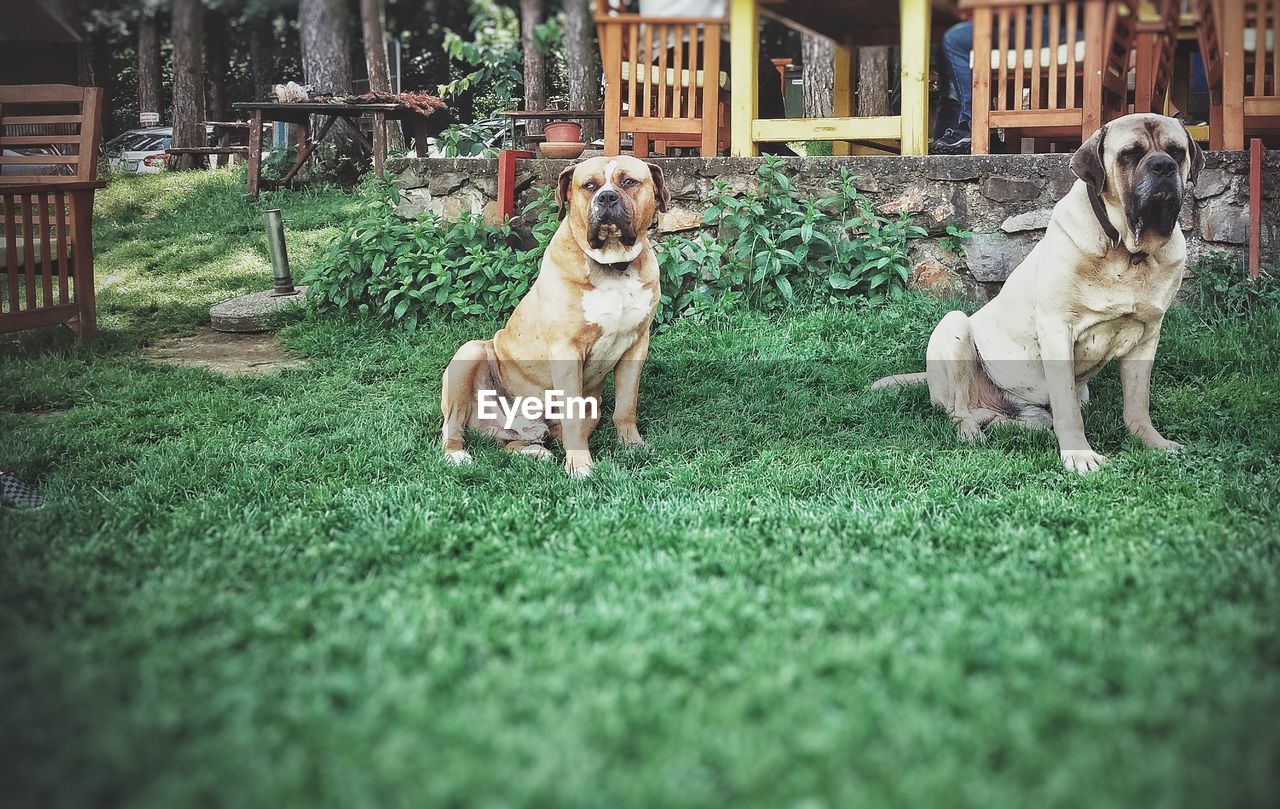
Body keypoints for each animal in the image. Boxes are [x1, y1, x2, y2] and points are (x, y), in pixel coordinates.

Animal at [440, 154, 670, 476]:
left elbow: (626, 405)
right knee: (452, 424)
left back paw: (535, 452)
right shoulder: (567, 350)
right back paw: (456, 454)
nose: (607, 197)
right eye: (589, 185)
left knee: (520, 443)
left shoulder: (636, 346)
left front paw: (632, 446)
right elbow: (572, 416)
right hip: (469, 353)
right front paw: (581, 467)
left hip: (587, 408)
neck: (613, 267)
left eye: (628, 182)